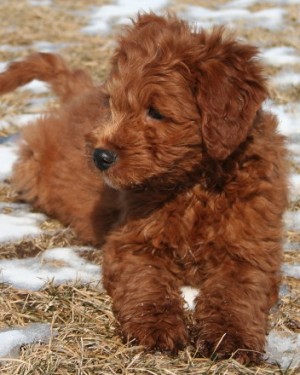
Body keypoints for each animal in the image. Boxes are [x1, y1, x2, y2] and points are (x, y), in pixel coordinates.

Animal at [1, 13, 290, 364]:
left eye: (156, 112)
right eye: (112, 104)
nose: (100, 156)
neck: (192, 186)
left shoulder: (251, 248)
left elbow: (235, 293)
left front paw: (231, 337)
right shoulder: (131, 241)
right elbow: (146, 282)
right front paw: (156, 327)